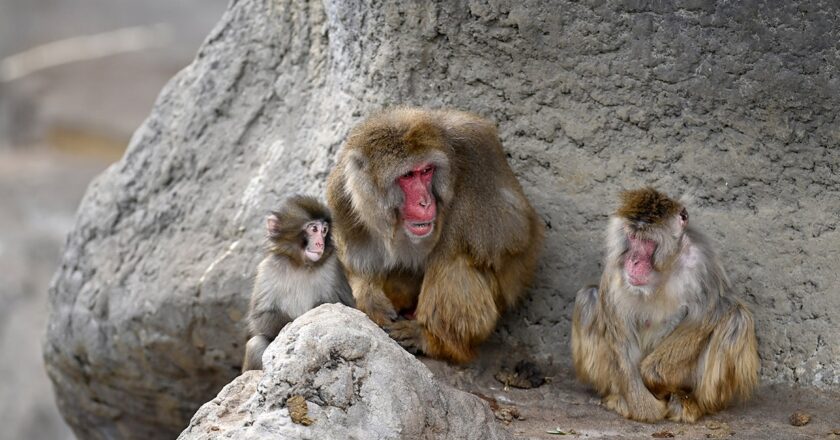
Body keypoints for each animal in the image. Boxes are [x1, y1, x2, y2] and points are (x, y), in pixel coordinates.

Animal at [242, 195, 354, 371]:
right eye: (313, 229)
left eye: (324, 230)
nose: (320, 244)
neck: (301, 265)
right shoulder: (267, 269)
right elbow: (260, 316)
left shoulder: (333, 266)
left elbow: (349, 308)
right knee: (255, 343)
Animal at [325, 107, 544, 364]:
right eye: (408, 176)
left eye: (426, 171)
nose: (425, 202)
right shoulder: (342, 193)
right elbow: (355, 261)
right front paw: (370, 298)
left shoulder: (479, 149)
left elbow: (512, 229)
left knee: (451, 259)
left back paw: (433, 339)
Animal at [571, 187, 759, 423]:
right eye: (632, 237)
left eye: (647, 241)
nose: (633, 261)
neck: (664, 267)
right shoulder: (616, 268)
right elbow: (620, 335)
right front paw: (645, 408)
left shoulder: (701, 261)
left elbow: (709, 313)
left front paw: (653, 378)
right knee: (589, 297)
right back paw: (618, 398)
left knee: (736, 318)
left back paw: (692, 402)